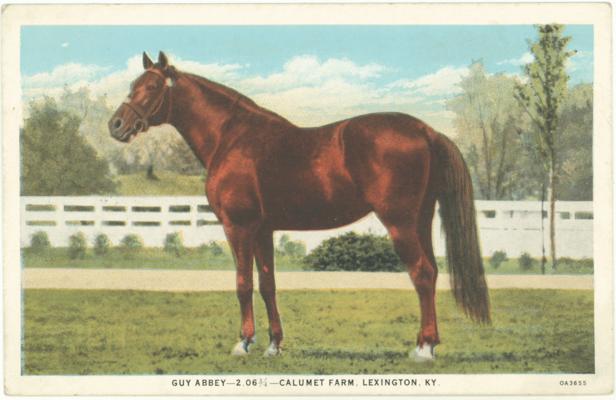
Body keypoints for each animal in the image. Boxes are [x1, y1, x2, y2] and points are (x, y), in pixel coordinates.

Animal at [108, 51, 488, 360]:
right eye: (133, 84)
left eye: (152, 86)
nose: (116, 125)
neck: (232, 138)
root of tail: (425, 131)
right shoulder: (262, 229)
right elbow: (267, 284)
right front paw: (274, 345)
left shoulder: (238, 227)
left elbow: (242, 284)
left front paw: (243, 343)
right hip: (421, 220)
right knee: (432, 272)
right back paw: (428, 342)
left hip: (400, 222)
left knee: (421, 273)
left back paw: (423, 349)